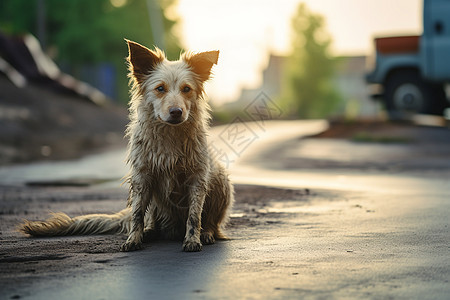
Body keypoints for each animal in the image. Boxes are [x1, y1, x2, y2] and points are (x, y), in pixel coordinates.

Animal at [19, 39, 234, 251]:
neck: (169, 135)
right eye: (160, 88)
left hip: (220, 179)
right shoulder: (142, 177)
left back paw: (206, 233)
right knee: (150, 219)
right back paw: (150, 232)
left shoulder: (197, 178)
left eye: (186, 89)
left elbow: (194, 215)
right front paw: (133, 239)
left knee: (212, 222)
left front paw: (192, 239)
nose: (176, 112)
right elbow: (138, 213)